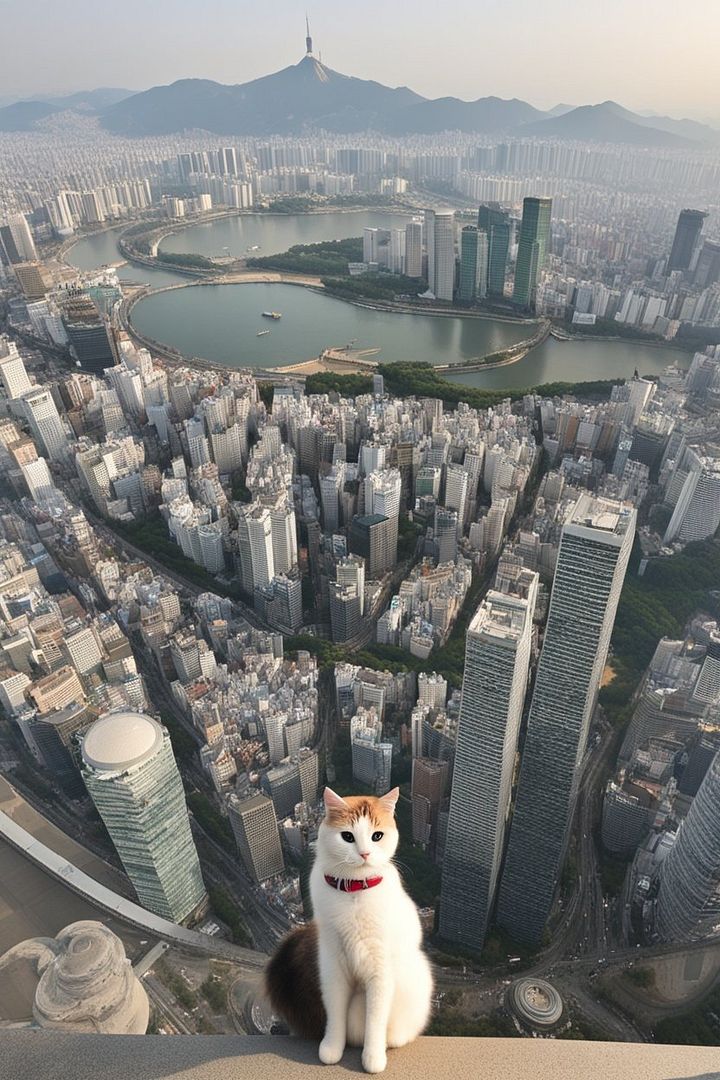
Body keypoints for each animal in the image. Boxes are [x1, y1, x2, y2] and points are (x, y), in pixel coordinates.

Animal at [266, 786, 431, 1071]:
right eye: (347, 836)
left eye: (377, 836)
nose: (364, 853)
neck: (353, 890)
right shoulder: (332, 965)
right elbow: (334, 1014)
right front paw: (332, 1048)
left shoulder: (380, 970)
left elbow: (375, 1020)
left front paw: (373, 1058)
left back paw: (393, 1039)